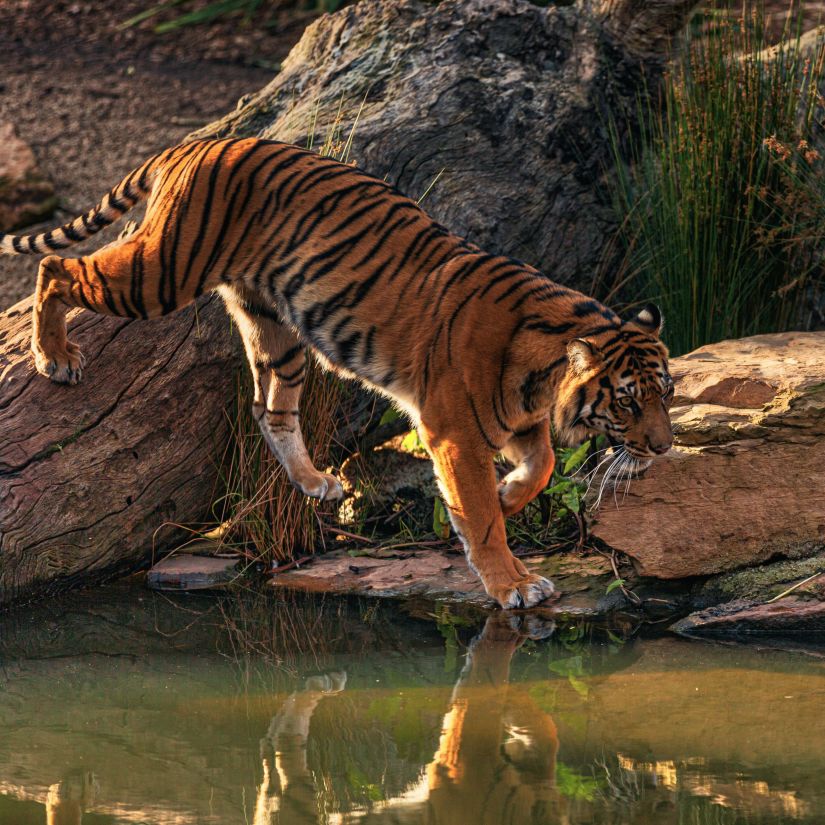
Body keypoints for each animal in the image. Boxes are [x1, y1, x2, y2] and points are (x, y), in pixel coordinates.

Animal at [0, 138, 672, 608]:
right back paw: (54, 356)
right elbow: (481, 517)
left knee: (268, 409)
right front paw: (513, 583)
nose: (665, 448)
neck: (544, 374)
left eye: (666, 393)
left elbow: (544, 465)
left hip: (275, 327)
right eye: (627, 401)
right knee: (58, 268)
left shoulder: (515, 421)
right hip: (160, 271)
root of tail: (197, 142)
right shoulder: (454, 430)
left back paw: (315, 483)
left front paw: (510, 495)